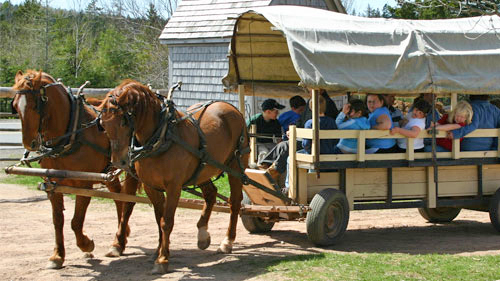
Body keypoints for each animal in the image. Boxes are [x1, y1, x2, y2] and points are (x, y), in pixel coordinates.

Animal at [12, 69, 141, 266]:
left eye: (35, 105)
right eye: (15, 106)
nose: (29, 143)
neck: (70, 136)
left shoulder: (84, 184)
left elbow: (76, 221)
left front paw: (86, 245)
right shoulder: (52, 184)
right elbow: (58, 220)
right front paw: (57, 255)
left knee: (126, 200)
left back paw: (118, 242)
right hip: (108, 171)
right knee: (118, 196)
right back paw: (122, 235)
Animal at [100, 79, 250, 274]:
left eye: (124, 122)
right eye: (103, 125)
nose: (120, 162)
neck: (162, 137)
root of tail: (231, 107)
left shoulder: (174, 186)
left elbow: (167, 221)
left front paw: (162, 260)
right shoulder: (150, 186)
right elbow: (159, 219)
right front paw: (158, 251)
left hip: (235, 167)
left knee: (235, 202)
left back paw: (227, 241)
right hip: (203, 169)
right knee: (210, 193)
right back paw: (202, 234)